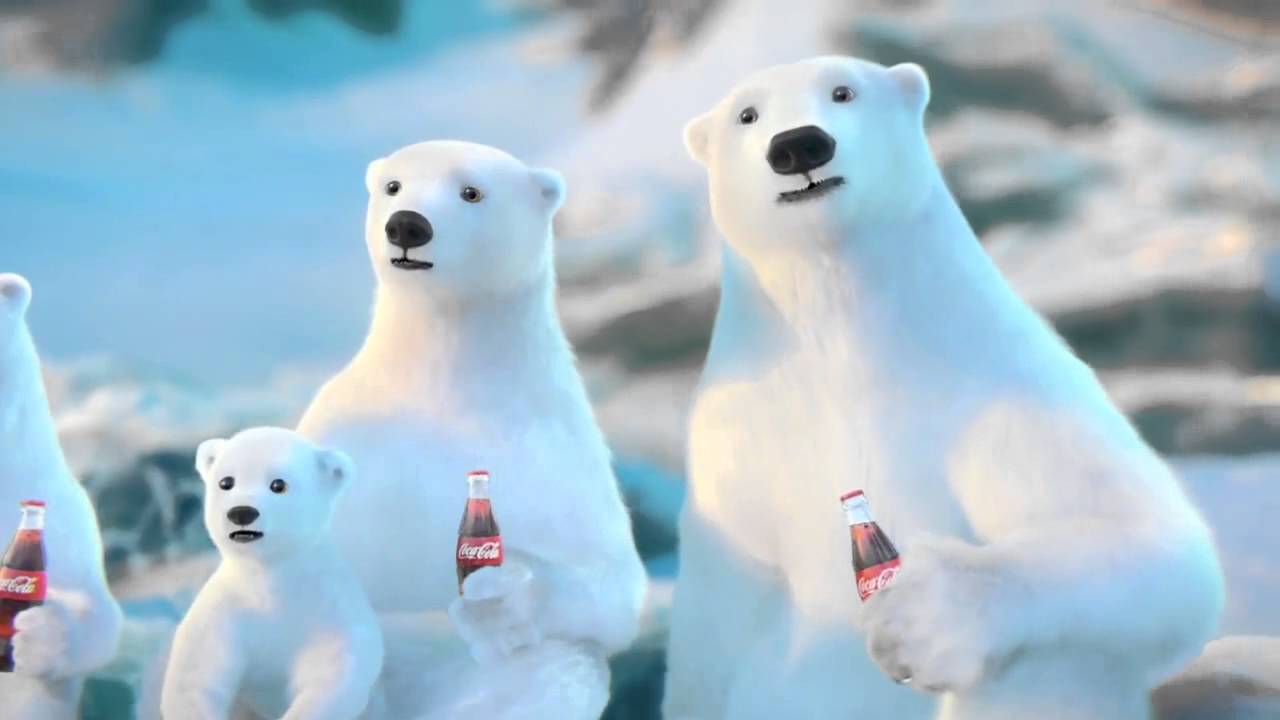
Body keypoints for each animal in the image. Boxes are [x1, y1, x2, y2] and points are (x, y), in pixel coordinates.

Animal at [161, 426, 384, 720]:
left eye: (278, 484)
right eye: (226, 482)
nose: (241, 512)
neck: (270, 578)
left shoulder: (327, 610)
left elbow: (331, 674)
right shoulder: (226, 611)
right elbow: (195, 673)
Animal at [296, 141, 648, 719]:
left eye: (471, 191)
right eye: (393, 185)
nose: (408, 224)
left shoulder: (558, 454)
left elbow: (613, 589)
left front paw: (501, 601)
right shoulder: (348, 435)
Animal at [662, 56, 1225, 720]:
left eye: (843, 90)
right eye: (746, 115)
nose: (799, 144)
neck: (849, 350)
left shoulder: (998, 390)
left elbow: (1156, 546)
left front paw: (921, 618)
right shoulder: (733, 449)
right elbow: (711, 637)